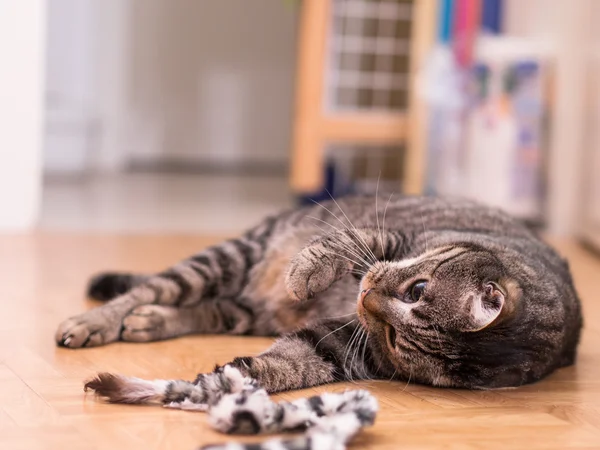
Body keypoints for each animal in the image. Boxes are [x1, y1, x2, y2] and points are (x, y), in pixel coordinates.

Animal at [55, 195, 580, 400]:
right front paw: (305, 273)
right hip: (226, 259)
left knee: (203, 309)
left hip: (244, 311)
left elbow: (293, 361)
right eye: (417, 289)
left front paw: (236, 379)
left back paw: (153, 321)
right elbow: (340, 245)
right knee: (148, 288)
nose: (363, 296)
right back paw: (94, 322)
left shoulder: (347, 348)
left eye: (395, 339)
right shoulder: (389, 239)